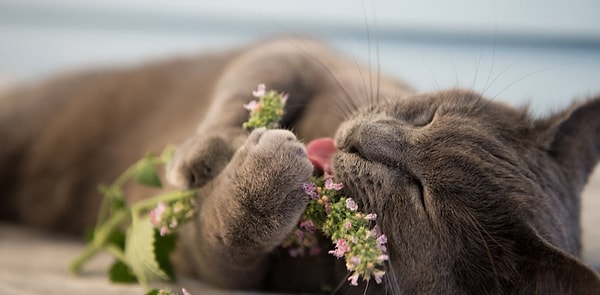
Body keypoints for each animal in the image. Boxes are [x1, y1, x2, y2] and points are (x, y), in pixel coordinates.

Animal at [1, 37, 600, 294]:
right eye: (428, 115)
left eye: (422, 194)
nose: (366, 140)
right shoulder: (306, 52)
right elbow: (256, 72)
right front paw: (197, 157)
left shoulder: (225, 265)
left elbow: (226, 239)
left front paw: (265, 172)